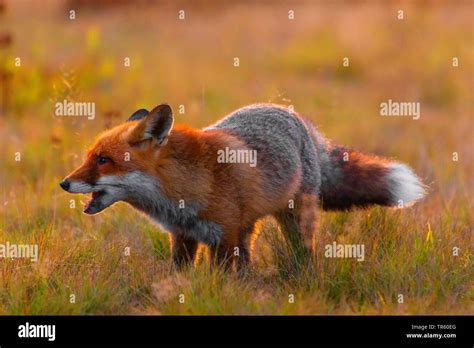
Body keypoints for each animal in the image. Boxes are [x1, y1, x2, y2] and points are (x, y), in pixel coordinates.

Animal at [59, 104, 426, 270]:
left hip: (295, 220)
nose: (64, 183)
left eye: (103, 160)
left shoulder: (222, 236)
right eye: (90, 157)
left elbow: (219, 277)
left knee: (303, 252)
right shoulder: (184, 236)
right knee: (247, 258)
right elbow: (178, 275)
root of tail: (298, 118)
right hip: (247, 227)